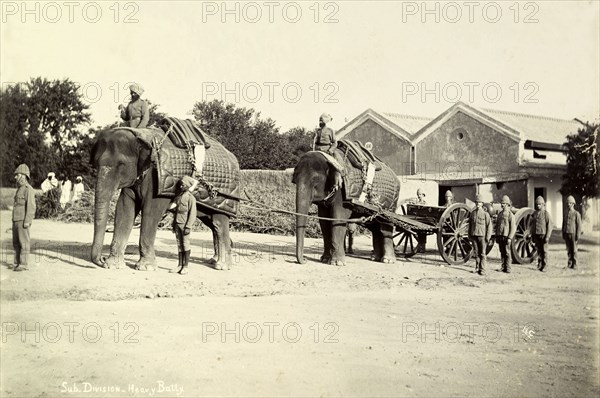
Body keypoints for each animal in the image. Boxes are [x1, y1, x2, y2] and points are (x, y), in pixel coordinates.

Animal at [90, 126, 238, 272]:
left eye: (121, 164)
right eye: (95, 163)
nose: (101, 259)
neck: (140, 134)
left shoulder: (156, 179)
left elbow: (151, 211)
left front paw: (145, 268)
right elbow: (124, 208)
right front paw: (113, 265)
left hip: (223, 198)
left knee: (218, 223)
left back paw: (222, 266)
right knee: (211, 222)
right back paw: (214, 260)